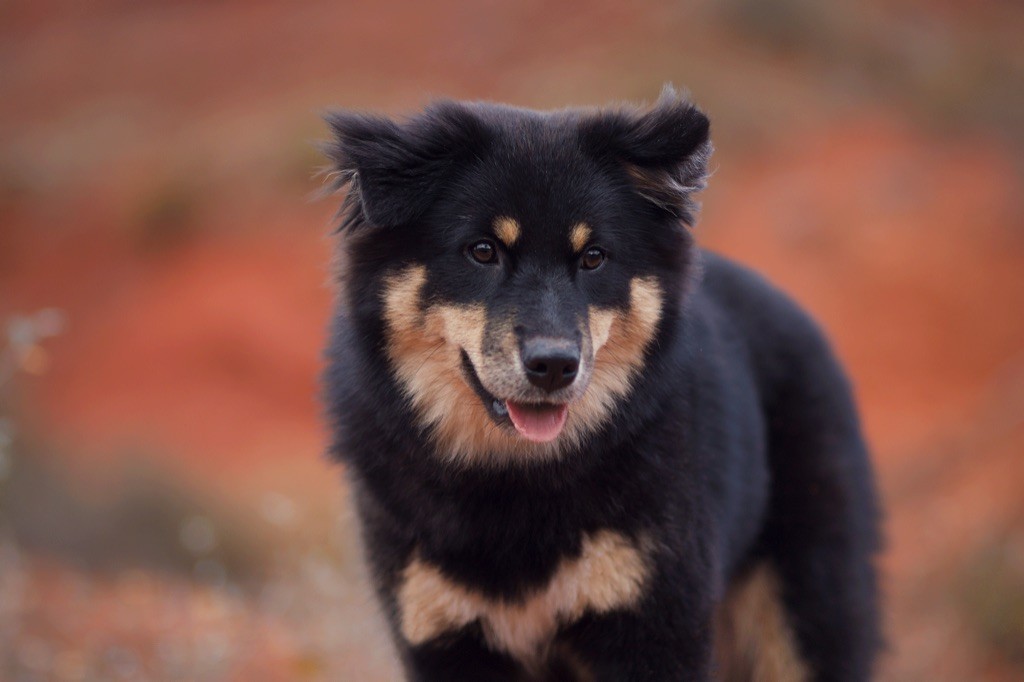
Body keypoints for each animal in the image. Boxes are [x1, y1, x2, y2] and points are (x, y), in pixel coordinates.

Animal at [319, 87, 880, 675]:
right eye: (482, 251)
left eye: (593, 257)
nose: (554, 366)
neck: (513, 478)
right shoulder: (440, 630)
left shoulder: (654, 625)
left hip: (805, 610)